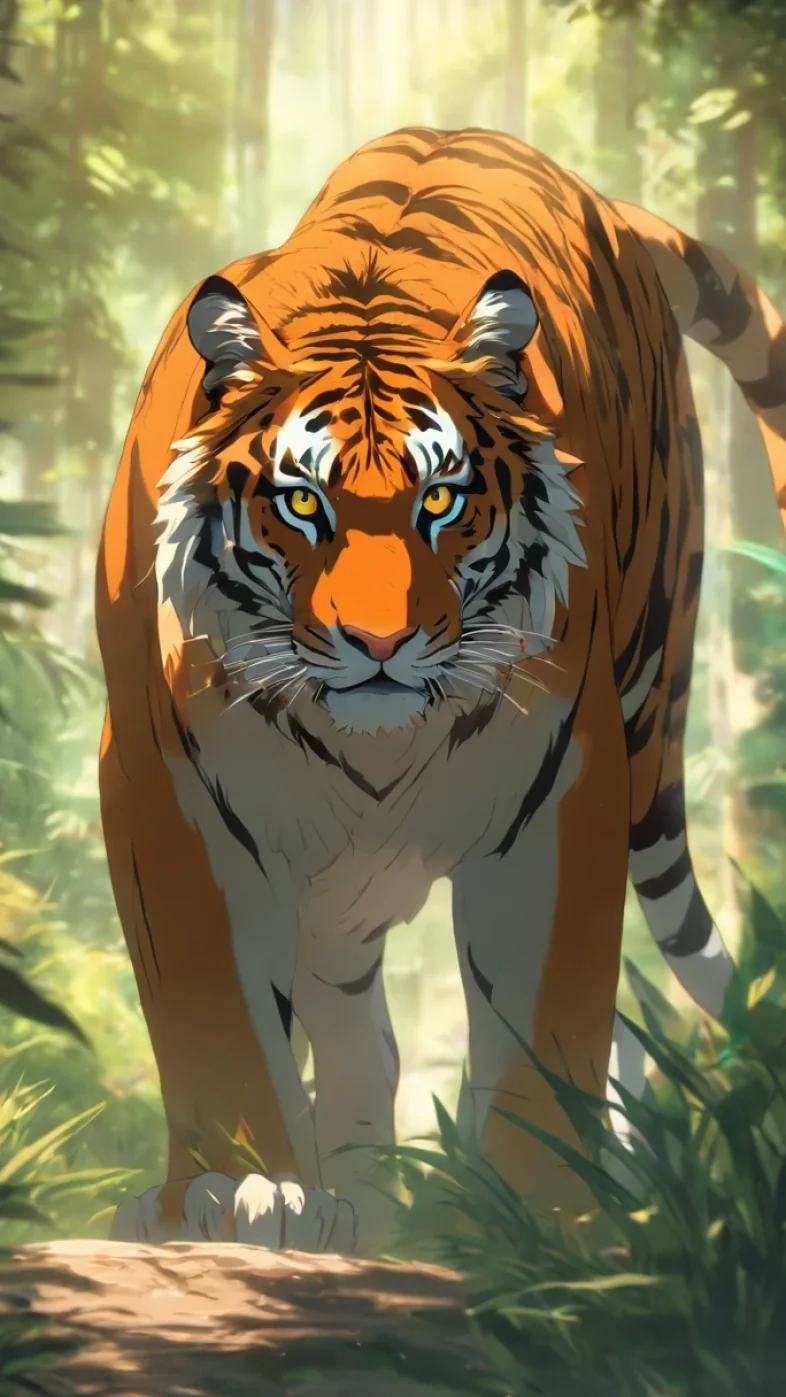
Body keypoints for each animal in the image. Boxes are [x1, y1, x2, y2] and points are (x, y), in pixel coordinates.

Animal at [97, 126, 786, 1255]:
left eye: (442, 499)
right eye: (303, 502)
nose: (380, 641)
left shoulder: (564, 780)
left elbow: (547, 1018)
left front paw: (541, 1216)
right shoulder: (167, 784)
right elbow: (215, 1014)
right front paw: (241, 1190)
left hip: (647, 698)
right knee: (359, 1031)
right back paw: (359, 1206)